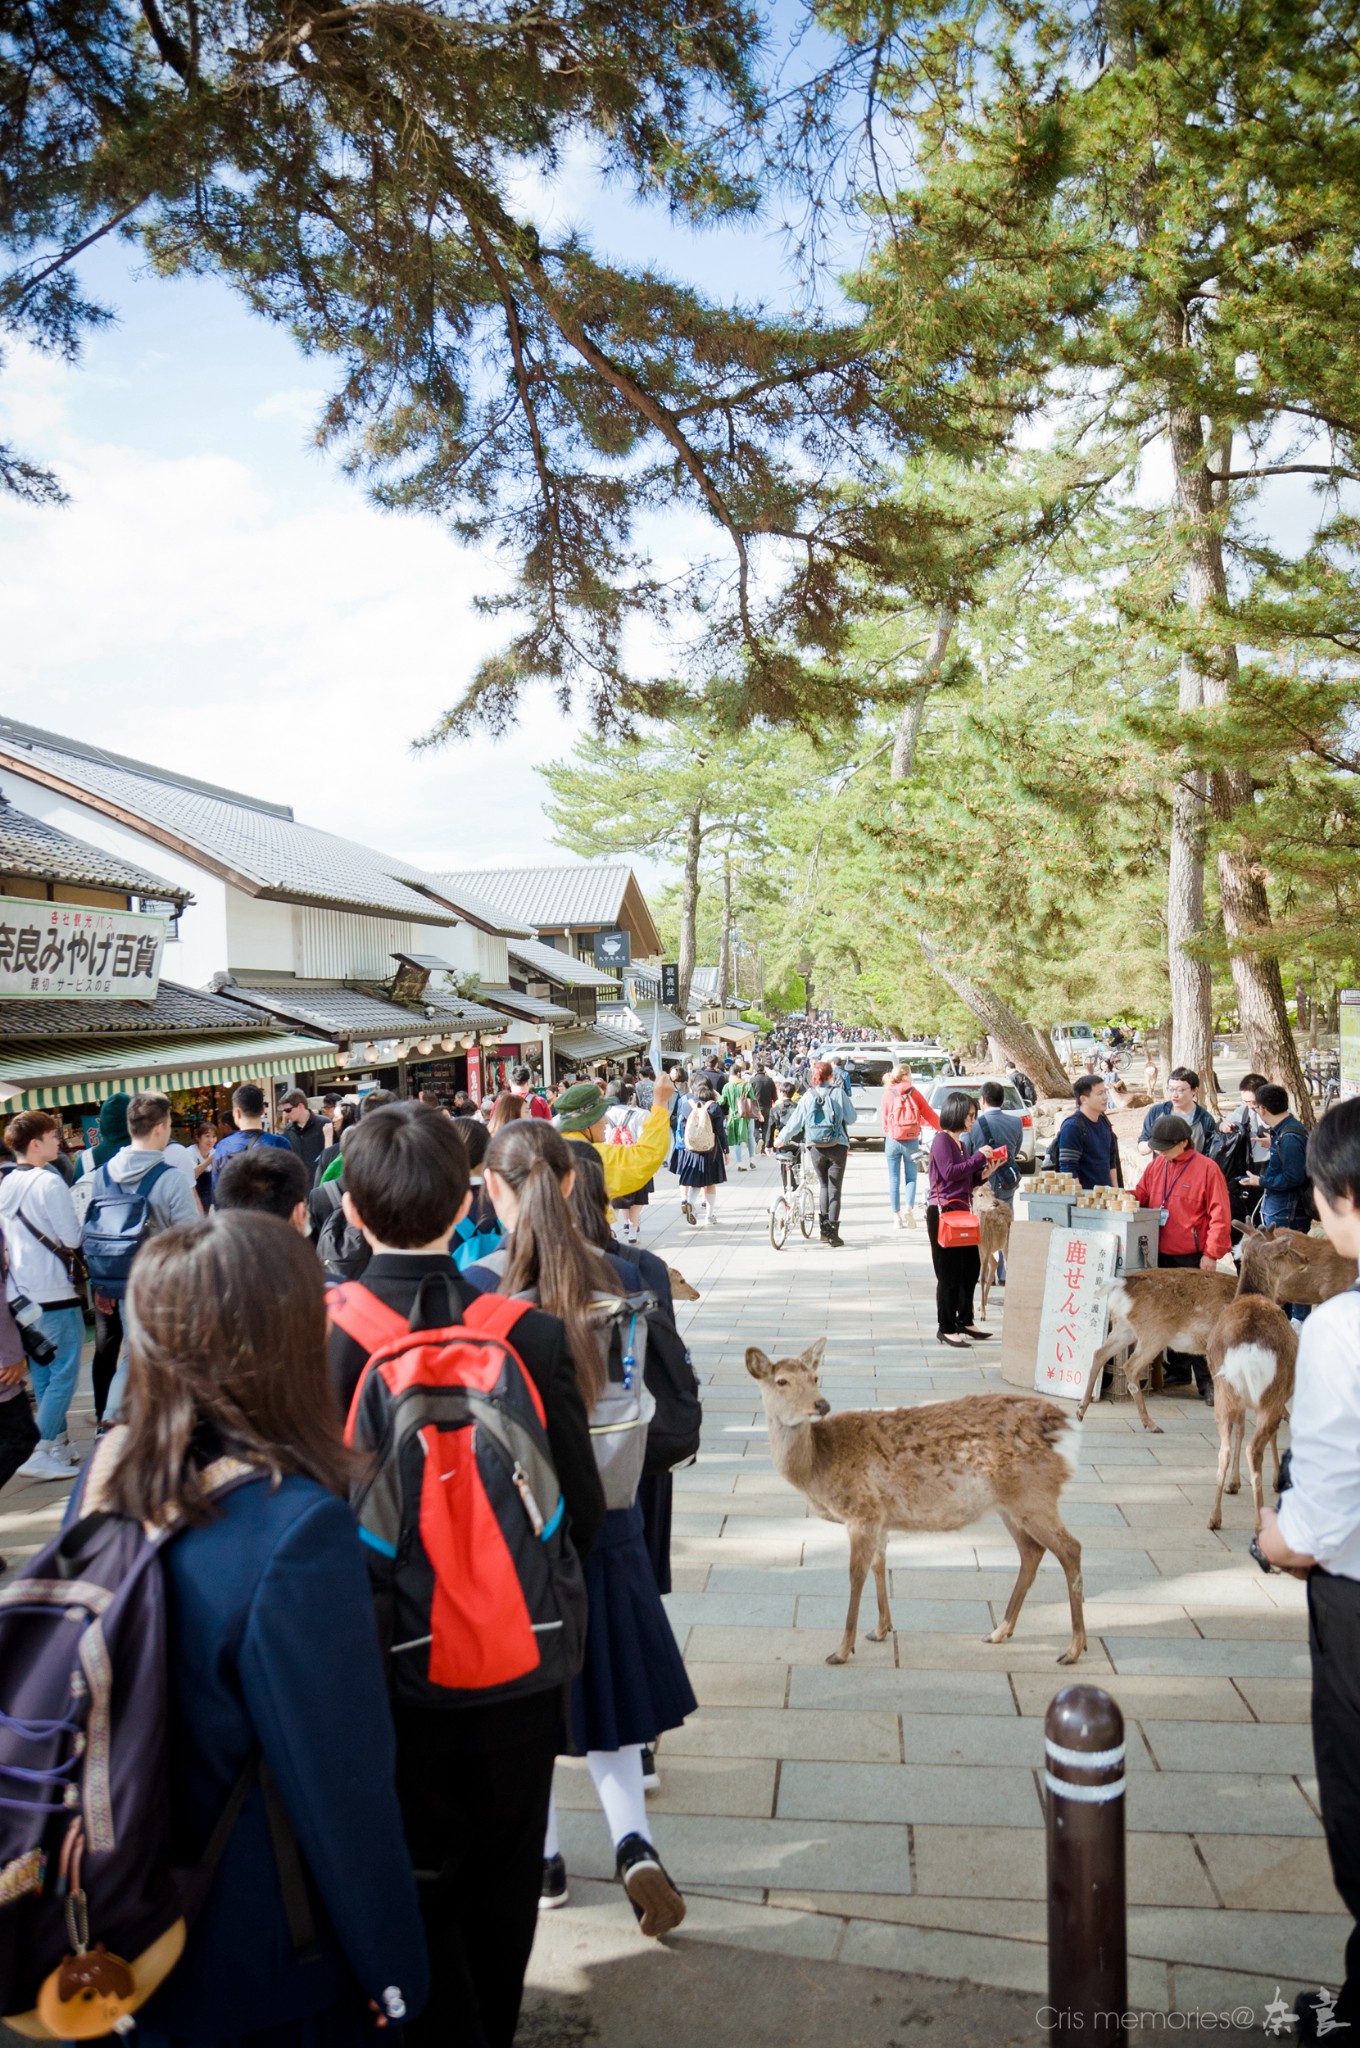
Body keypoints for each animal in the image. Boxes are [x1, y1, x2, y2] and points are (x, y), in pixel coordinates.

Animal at [745, 1343, 1081, 1662]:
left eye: (815, 1377)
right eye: (781, 1380)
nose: (822, 1404)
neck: (816, 1467)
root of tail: (1065, 1429)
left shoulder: (862, 1510)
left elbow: (856, 1574)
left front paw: (841, 1650)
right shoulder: (880, 1516)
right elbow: (879, 1564)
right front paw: (880, 1629)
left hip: (1034, 1496)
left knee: (1070, 1549)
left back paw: (1073, 1648)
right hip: (1010, 1505)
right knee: (1032, 1551)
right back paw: (999, 1631)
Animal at [1081, 1269, 1237, 1433]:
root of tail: (1122, 1283)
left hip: (1123, 1328)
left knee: (1099, 1354)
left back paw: (1080, 1410)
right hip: (1154, 1334)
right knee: (1130, 1366)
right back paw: (1151, 1425)